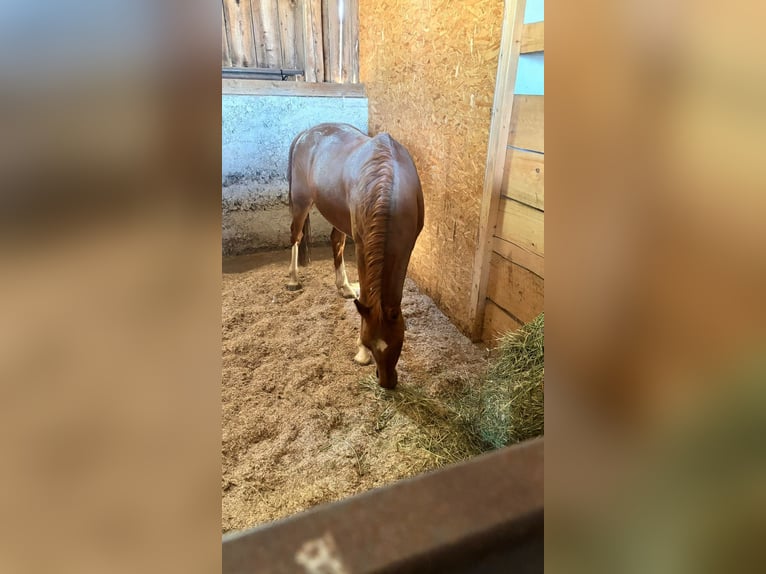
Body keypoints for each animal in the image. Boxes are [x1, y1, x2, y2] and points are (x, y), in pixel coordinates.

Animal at [286, 123, 424, 389]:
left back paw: (345, 286)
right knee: (295, 235)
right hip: (301, 201)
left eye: (398, 342)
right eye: (369, 342)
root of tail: (306, 133)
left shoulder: (408, 247)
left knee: (336, 242)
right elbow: (369, 296)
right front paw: (361, 354)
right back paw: (293, 279)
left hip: (337, 214)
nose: (386, 382)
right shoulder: (362, 247)